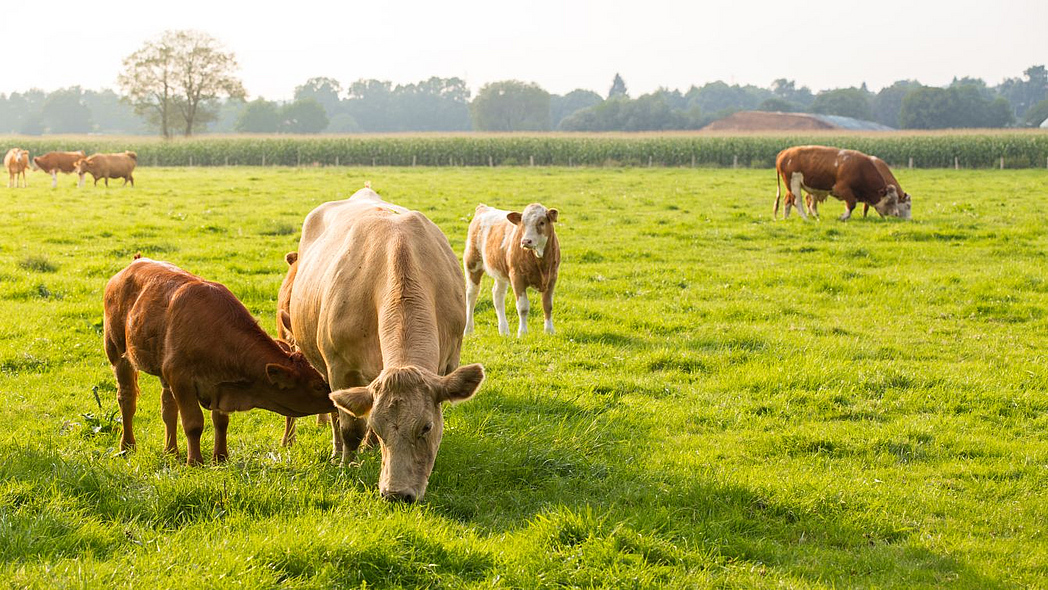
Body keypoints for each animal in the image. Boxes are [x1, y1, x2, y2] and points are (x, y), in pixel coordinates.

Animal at [104, 257, 334, 465]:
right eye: (317, 385)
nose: (335, 398)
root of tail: (135, 262)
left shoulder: (219, 383)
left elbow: (221, 422)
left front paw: (221, 458)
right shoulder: (181, 378)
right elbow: (193, 423)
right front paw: (195, 462)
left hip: (162, 370)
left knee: (168, 408)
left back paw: (172, 452)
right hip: (118, 355)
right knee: (127, 399)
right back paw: (127, 446)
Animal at [289, 186, 484, 502]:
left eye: (426, 427)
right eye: (381, 428)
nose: (396, 494)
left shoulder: (447, 363)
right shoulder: (340, 368)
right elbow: (351, 427)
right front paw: (347, 464)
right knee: (334, 414)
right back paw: (337, 452)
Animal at [463, 203, 560, 337]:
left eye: (541, 222)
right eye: (522, 224)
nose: (525, 241)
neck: (540, 261)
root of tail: (483, 208)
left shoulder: (552, 277)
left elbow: (548, 305)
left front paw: (549, 331)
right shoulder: (517, 277)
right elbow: (523, 307)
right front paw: (522, 333)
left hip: (500, 271)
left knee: (497, 295)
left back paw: (504, 330)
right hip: (472, 264)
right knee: (472, 295)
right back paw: (468, 330)